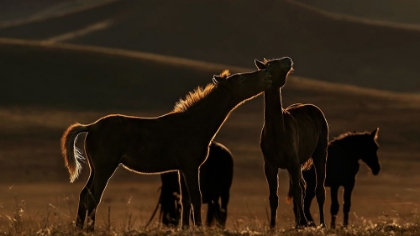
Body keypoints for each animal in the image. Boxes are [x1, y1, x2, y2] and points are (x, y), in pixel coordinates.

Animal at [60, 62, 282, 230]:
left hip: (95, 169)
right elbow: (195, 198)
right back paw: (89, 229)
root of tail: (91, 127)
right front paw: (198, 229)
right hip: (105, 167)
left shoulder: (181, 169)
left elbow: (185, 200)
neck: (195, 123)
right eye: (242, 79)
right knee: (93, 197)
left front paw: (185, 228)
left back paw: (80, 229)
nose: (267, 75)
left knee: (85, 195)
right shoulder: (191, 166)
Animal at [254, 57, 330, 229]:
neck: (276, 132)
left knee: (319, 190)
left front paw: (303, 222)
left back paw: (321, 223)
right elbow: (274, 197)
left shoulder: (293, 161)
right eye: (271, 64)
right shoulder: (270, 164)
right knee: (302, 186)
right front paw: (272, 225)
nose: (287, 60)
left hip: (319, 153)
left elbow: (296, 191)